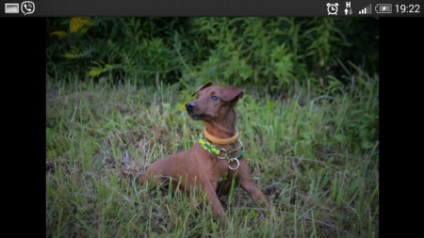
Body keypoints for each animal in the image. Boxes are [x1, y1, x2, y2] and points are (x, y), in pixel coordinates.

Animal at [141, 82, 270, 225]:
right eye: (198, 96)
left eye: (214, 97)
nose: (189, 105)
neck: (222, 146)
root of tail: (146, 169)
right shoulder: (209, 188)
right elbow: (222, 216)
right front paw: (230, 228)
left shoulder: (248, 182)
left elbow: (266, 203)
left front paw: (275, 221)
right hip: (157, 183)